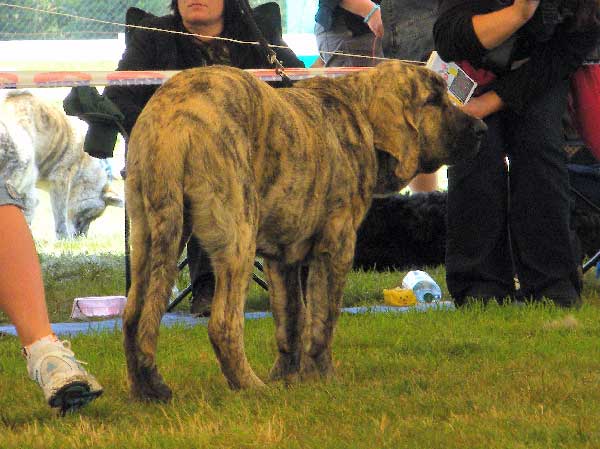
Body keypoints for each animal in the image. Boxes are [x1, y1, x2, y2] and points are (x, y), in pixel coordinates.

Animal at [124, 60, 486, 400]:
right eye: (433, 100)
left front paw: (286, 377)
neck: (362, 117)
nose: (482, 128)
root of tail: (172, 121)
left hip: (150, 235)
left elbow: (291, 318)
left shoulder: (281, 259)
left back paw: (147, 390)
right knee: (223, 323)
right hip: (238, 236)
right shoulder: (337, 247)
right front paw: (322, 378)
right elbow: (323, 319)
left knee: (134, 316)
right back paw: (250, 387)